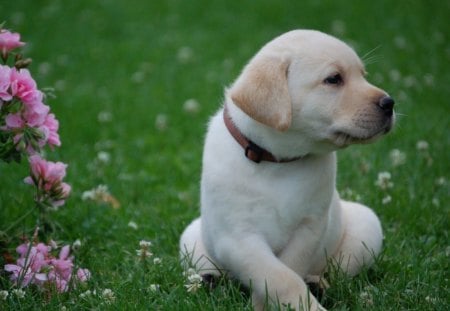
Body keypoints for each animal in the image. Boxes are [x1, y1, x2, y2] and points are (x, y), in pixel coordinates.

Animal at [179, 29, 394, 311]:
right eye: (333, 79)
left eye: (363, 74)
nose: (390, 103)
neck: (276, 162)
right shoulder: (237, 238)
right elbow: (280, 277)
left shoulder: (310, 228)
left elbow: (289, 270)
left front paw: (271, 303)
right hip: (192, 240)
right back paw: (210, 282)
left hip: (366, 226)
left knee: (335, 270)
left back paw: (318, 283)